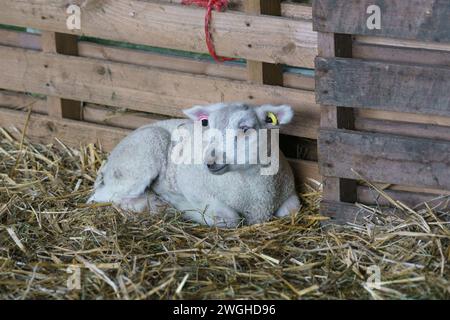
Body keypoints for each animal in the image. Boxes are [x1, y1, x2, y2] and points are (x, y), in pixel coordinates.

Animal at [88, 102, 300, 228]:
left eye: (245, 128)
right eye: (208, 125)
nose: (210, 162)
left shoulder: (288, 191)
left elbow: (292, 210)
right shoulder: (195, 189)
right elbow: (230, 219)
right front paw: (182, 206)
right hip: (143, 153)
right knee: (104, 196)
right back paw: (153, 204)